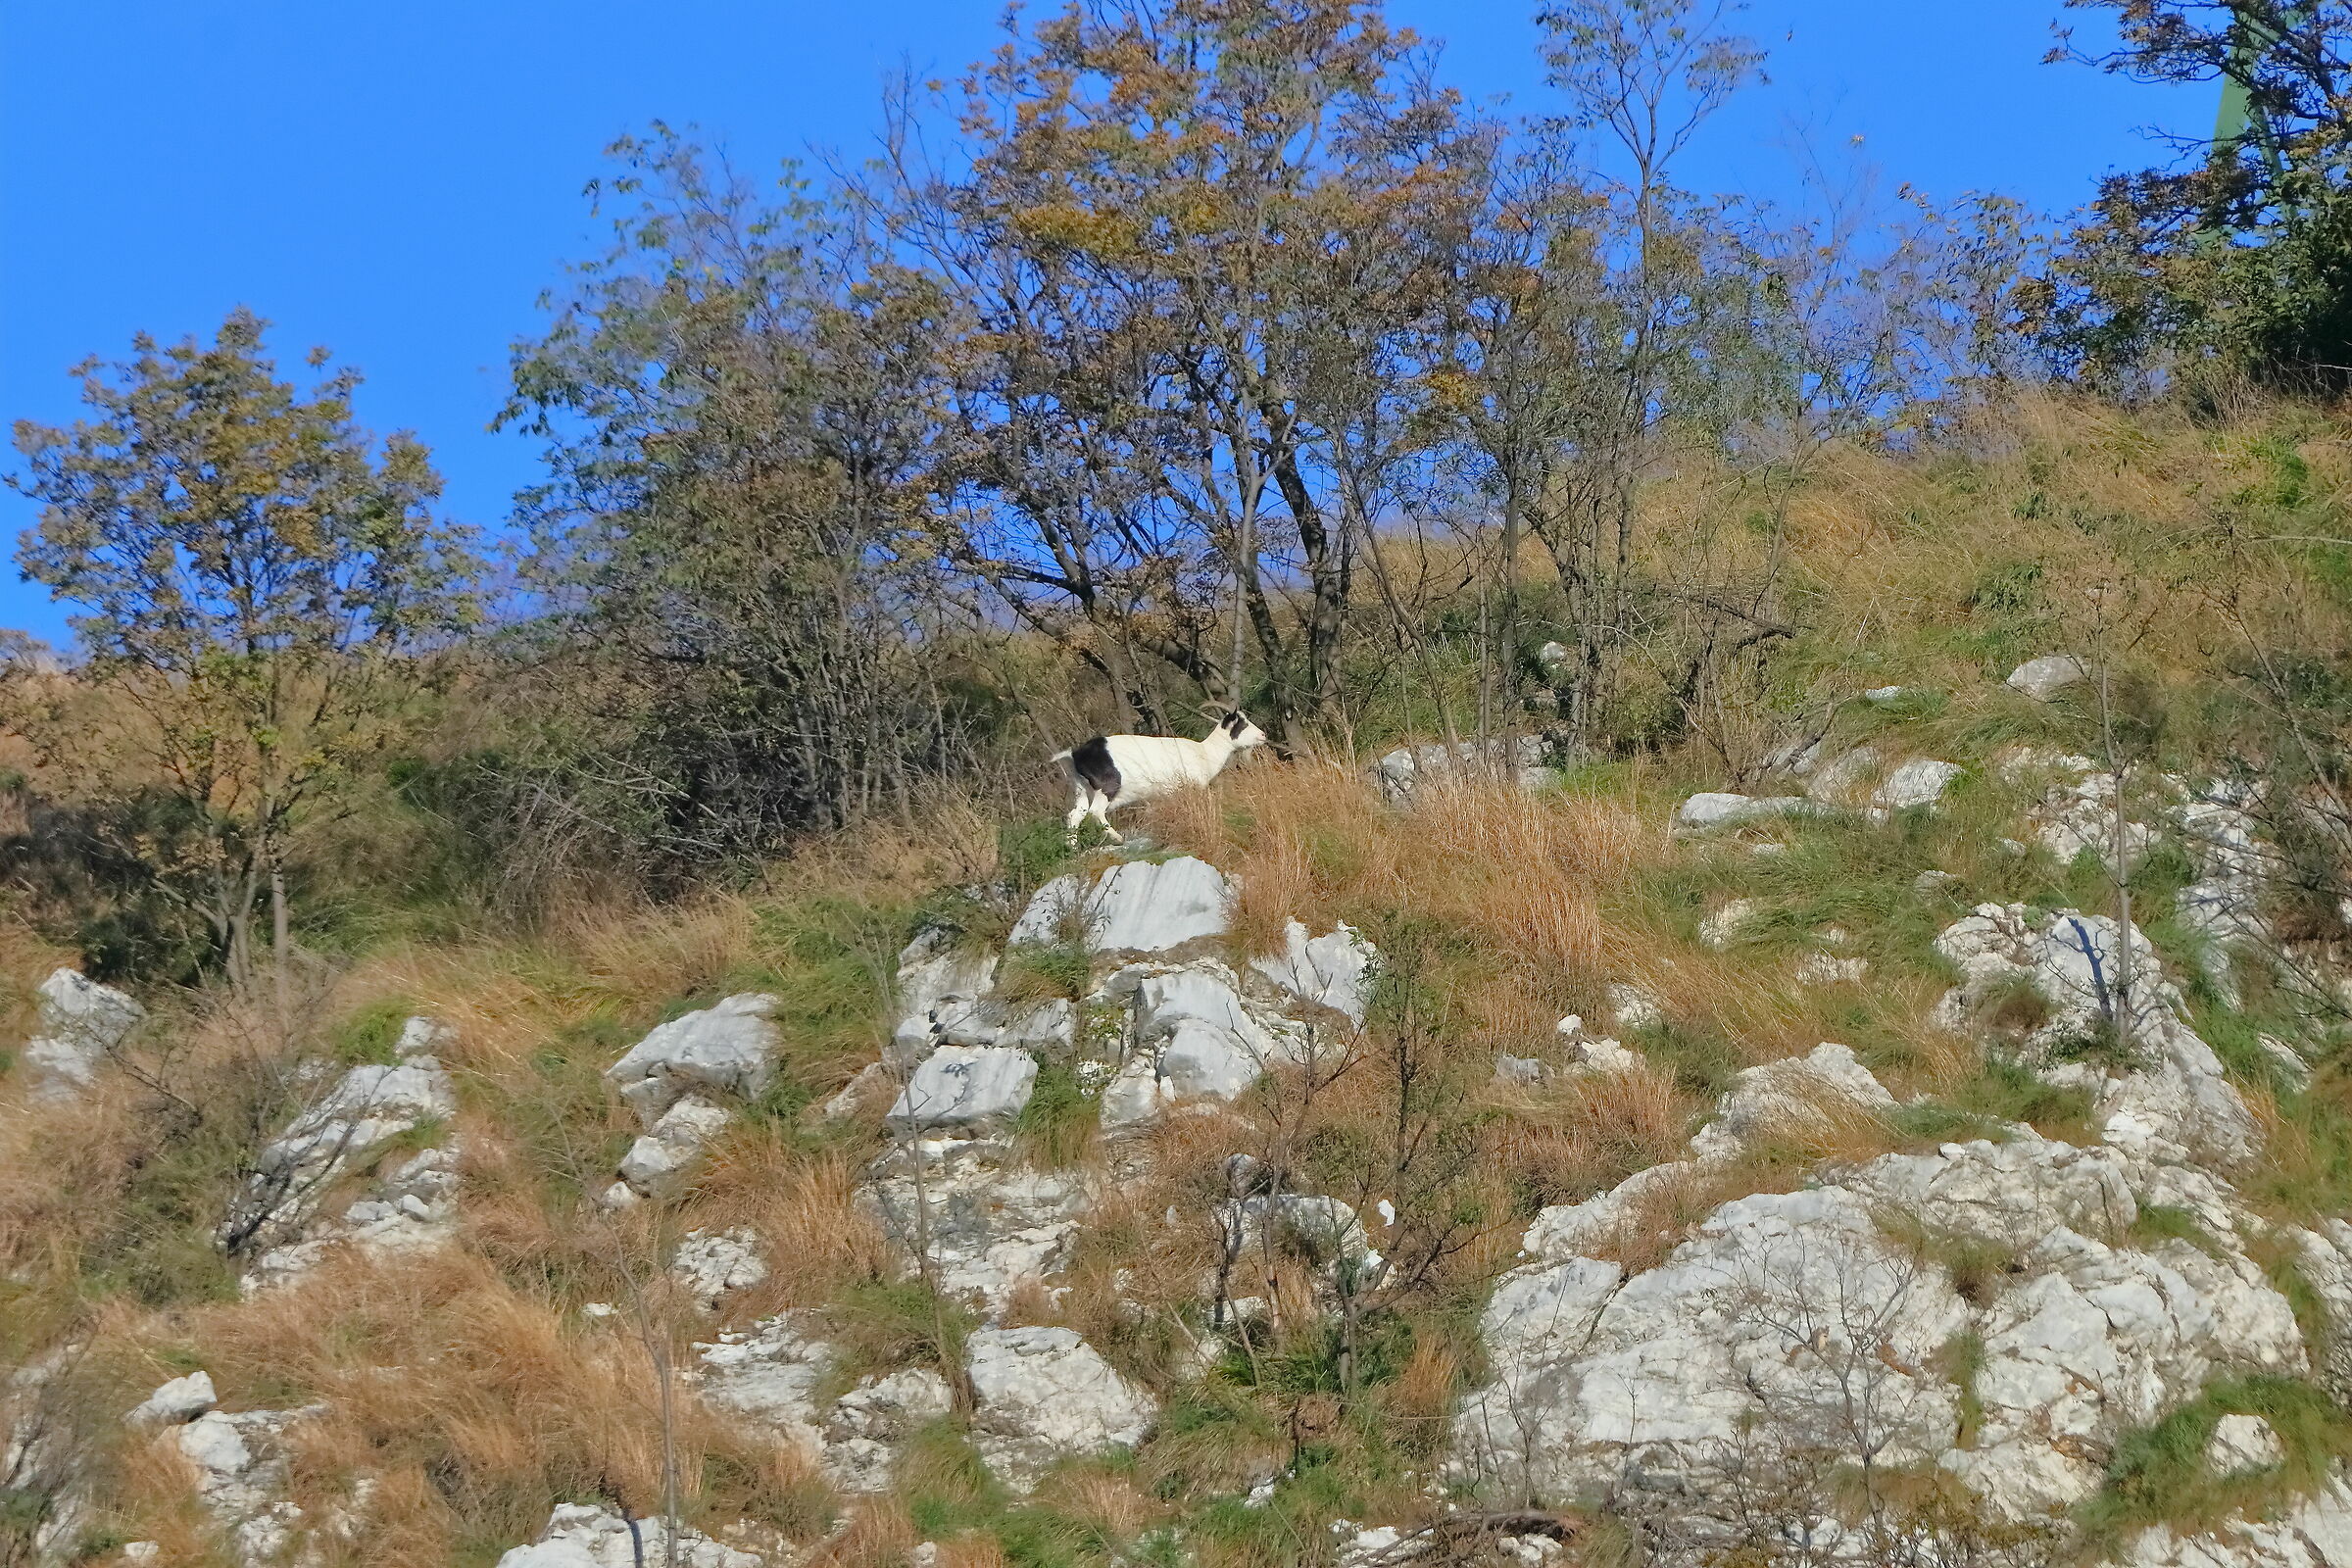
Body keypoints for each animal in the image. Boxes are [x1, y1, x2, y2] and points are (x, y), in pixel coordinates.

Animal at [1053, 710, 1269, 844]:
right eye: (1243, 724)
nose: (1263, 735)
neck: (1204, 752)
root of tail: (1076, 754)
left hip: (1082, 791)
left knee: (1074, 815)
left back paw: (1073, 850)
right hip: (1107, 787)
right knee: (1095, 812)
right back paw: (1119, 839)